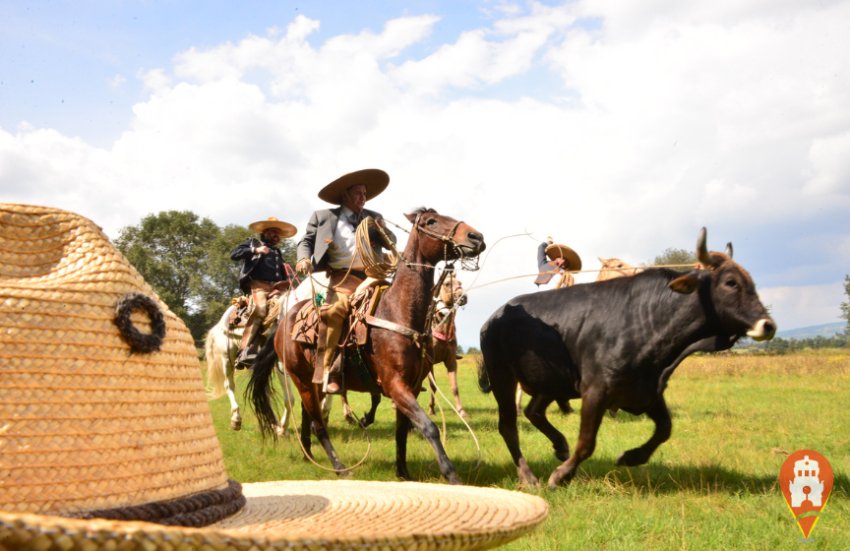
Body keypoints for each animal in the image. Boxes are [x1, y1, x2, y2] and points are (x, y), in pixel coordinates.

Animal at [245, 207, 484, 484]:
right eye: (431, 221)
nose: (476, 237)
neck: (397, 311)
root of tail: (283, 321)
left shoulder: (412, 386)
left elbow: (403, 429)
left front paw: (403, 472)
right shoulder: (395, 384)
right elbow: (428, 426)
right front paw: (451, 473)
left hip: (310, 381)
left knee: (309, 416)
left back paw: (309, 455)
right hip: (300, 377)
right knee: (318, 423)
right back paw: (339, 467)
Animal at [476, 231, 776, 490]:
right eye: (731, 282)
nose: (768, 325)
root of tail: (494, 317)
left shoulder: (647, 390)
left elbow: (665, 428)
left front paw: (632, 457)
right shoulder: (596, 391)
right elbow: (587, 443)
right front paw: (561, 476)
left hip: (551, 382)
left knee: (534, 411)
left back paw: (560, 446)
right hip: (503, 377)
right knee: (509, 425)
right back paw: (528, 476)